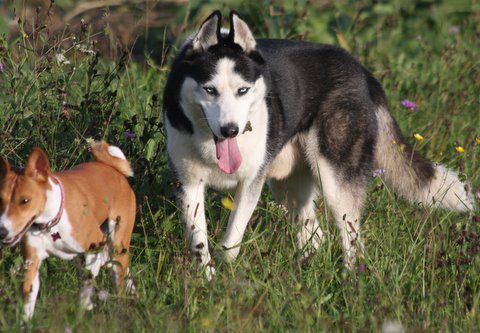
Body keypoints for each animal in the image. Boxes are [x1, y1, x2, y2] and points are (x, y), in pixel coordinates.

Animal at [0, 141, 137, 320]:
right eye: (0, 200)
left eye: (25, 200)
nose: (2, 231)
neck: (50, 224)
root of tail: (114, 170)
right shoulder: (32, 262)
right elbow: (28, 301)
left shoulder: (94, 249)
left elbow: (85, 292)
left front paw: (79, 318)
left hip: (117, 246)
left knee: (118, 276)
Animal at [162, 11, 476, 278]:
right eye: (210, 90)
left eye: (243, 90)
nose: (230, 130)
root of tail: (362, 71)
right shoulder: (188, 185)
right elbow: (199, 242)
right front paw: (207, 280)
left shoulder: (251, 182)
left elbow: (231, 240)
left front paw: (226, 274)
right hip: (287, 186)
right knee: (315, 235)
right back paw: (306, 272)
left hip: (334, 182)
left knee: (352, 240)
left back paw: (349, 281)